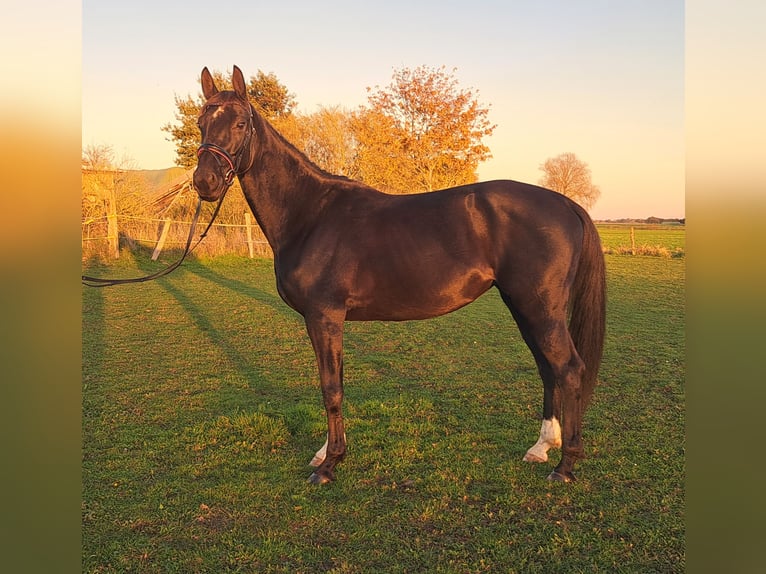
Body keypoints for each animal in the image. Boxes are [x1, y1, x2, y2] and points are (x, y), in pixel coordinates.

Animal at [190, 66, 608, 486]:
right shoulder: (329, 320)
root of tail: (565, 203)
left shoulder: (324, 316)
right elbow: (336, 382)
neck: (310, 213)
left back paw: (565, 466)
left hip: (539, 310)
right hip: (523, 307)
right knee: (548, 369)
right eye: (201, 123)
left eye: (240, 123)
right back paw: (542, 447)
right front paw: (326, 452)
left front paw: (329, 465)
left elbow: (331, 388)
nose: (205, 182)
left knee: (569, 369)